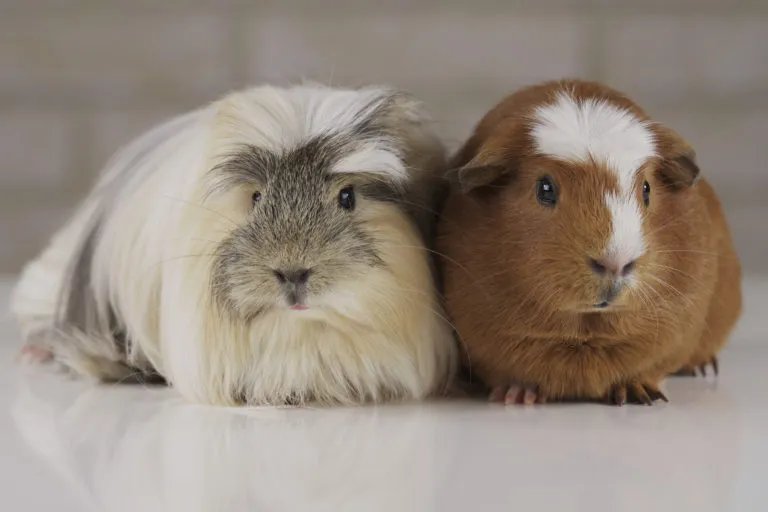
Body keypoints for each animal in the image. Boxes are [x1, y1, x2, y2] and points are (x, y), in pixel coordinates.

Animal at [436, 79, 742, 405]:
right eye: (544, 188)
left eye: (647, 189)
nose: (615, 262)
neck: (586, 331)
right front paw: (515, 396)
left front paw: (641, 394)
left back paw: (703, 369)